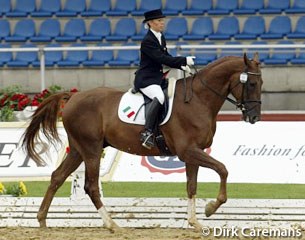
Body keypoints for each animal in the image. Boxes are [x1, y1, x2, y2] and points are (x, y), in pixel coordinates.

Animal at [22, 53, 262, 231]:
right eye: (251, 83)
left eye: (261, 83)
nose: (254, 117)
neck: (198, 100)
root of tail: (74, 96)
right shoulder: (188, 151)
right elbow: (223, 169)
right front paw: (211, 207)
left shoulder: (194, 152)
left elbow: (191, 186)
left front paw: (195, 222)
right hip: (91, 150)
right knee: (91, 186)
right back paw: (112, 225)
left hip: (78, 150)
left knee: (57, 177)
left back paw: (42, 220)